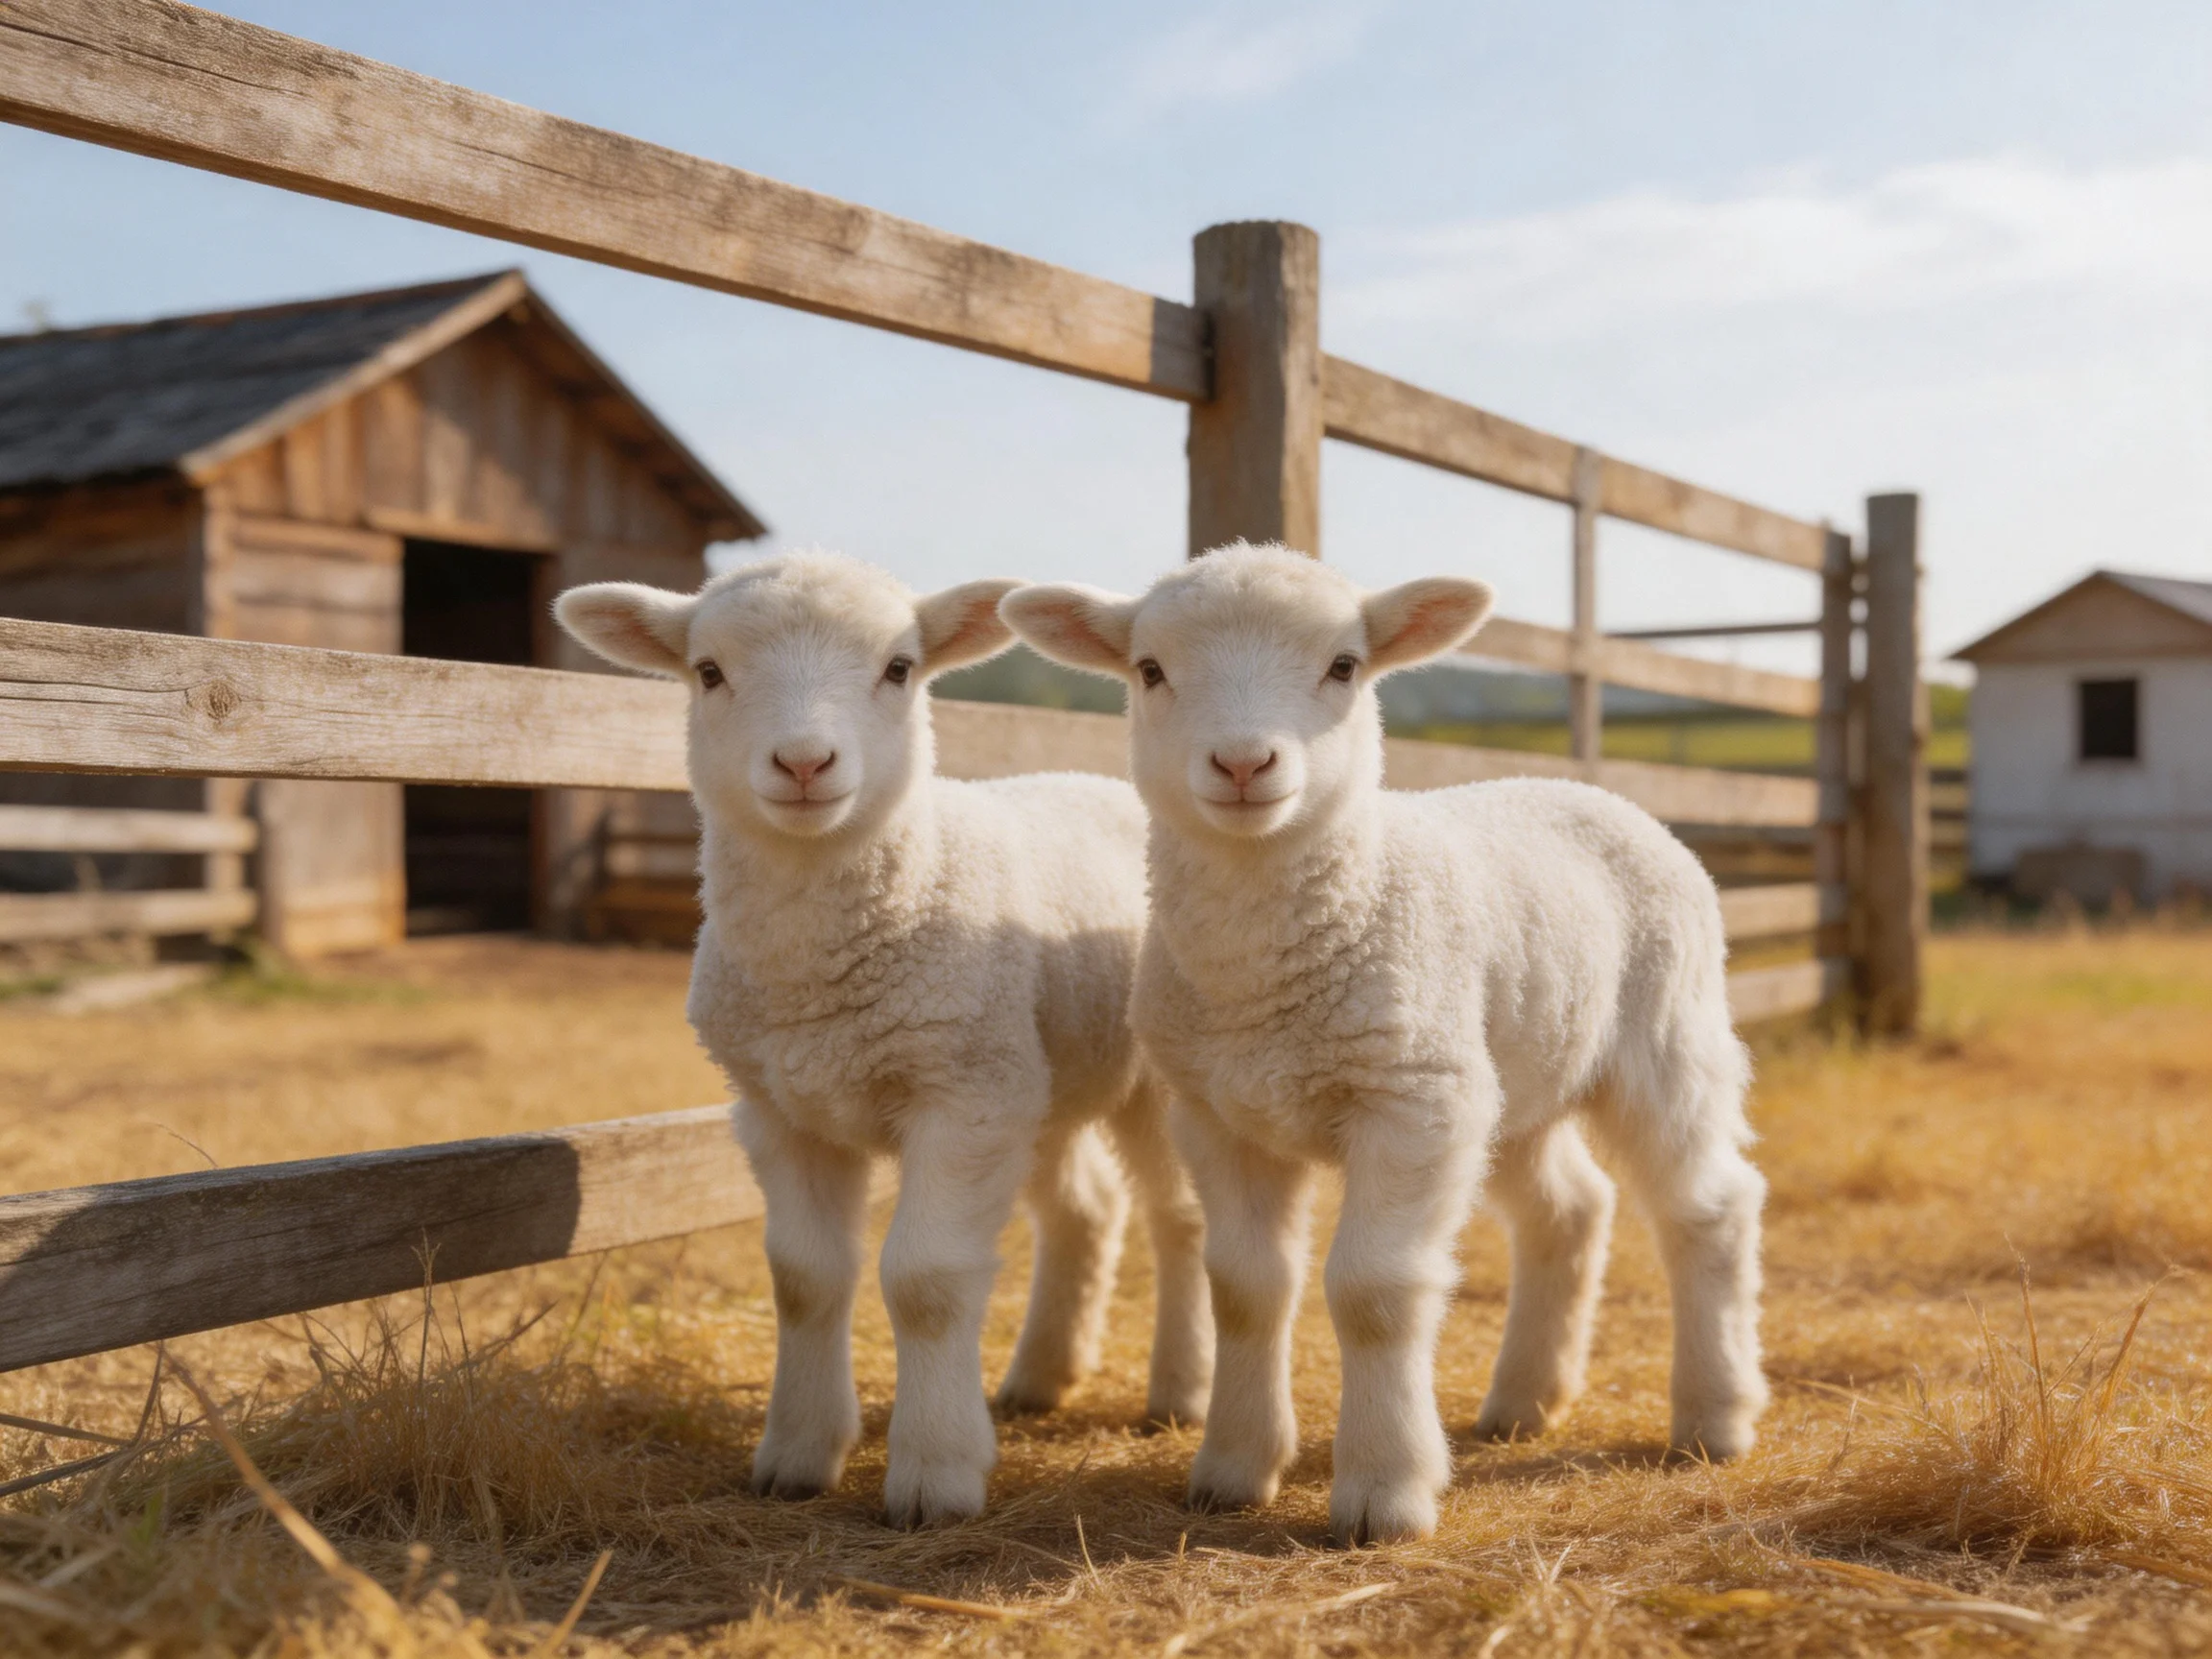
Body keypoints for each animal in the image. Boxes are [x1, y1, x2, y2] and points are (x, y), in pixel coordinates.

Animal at [554, 552, 1211, 1528]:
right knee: (1086, 1209)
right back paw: (1039, 1378)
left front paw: (935, 1472)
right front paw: (796, 1454)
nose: (803, 762)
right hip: (1037, 1070)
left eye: (900, 668)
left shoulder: (960, 1096)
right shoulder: (781, 1107)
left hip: (1137, 1076)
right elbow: (803, 1278)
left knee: (1184, 1217)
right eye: (708, 672)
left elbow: (928, 1280)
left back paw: (1182, 1392)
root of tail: (1100, 781)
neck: (821, 979)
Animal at [1000, 542, 1767, 1547]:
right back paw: (1524, 1402)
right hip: (1505, 1080)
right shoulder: (1219, 1113)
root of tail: (1586, 788)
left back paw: (1715, 1415)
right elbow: (1244, 1285)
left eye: (1344, 666)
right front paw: (1233, 1468)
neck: (1269, 980)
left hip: (1663, 1035)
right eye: (1151, 670)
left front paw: (1383, 1491)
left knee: (1708, 1206)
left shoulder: (1410, 1101)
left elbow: (1372, 1291)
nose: (1243, 762)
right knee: (1569, 1207)